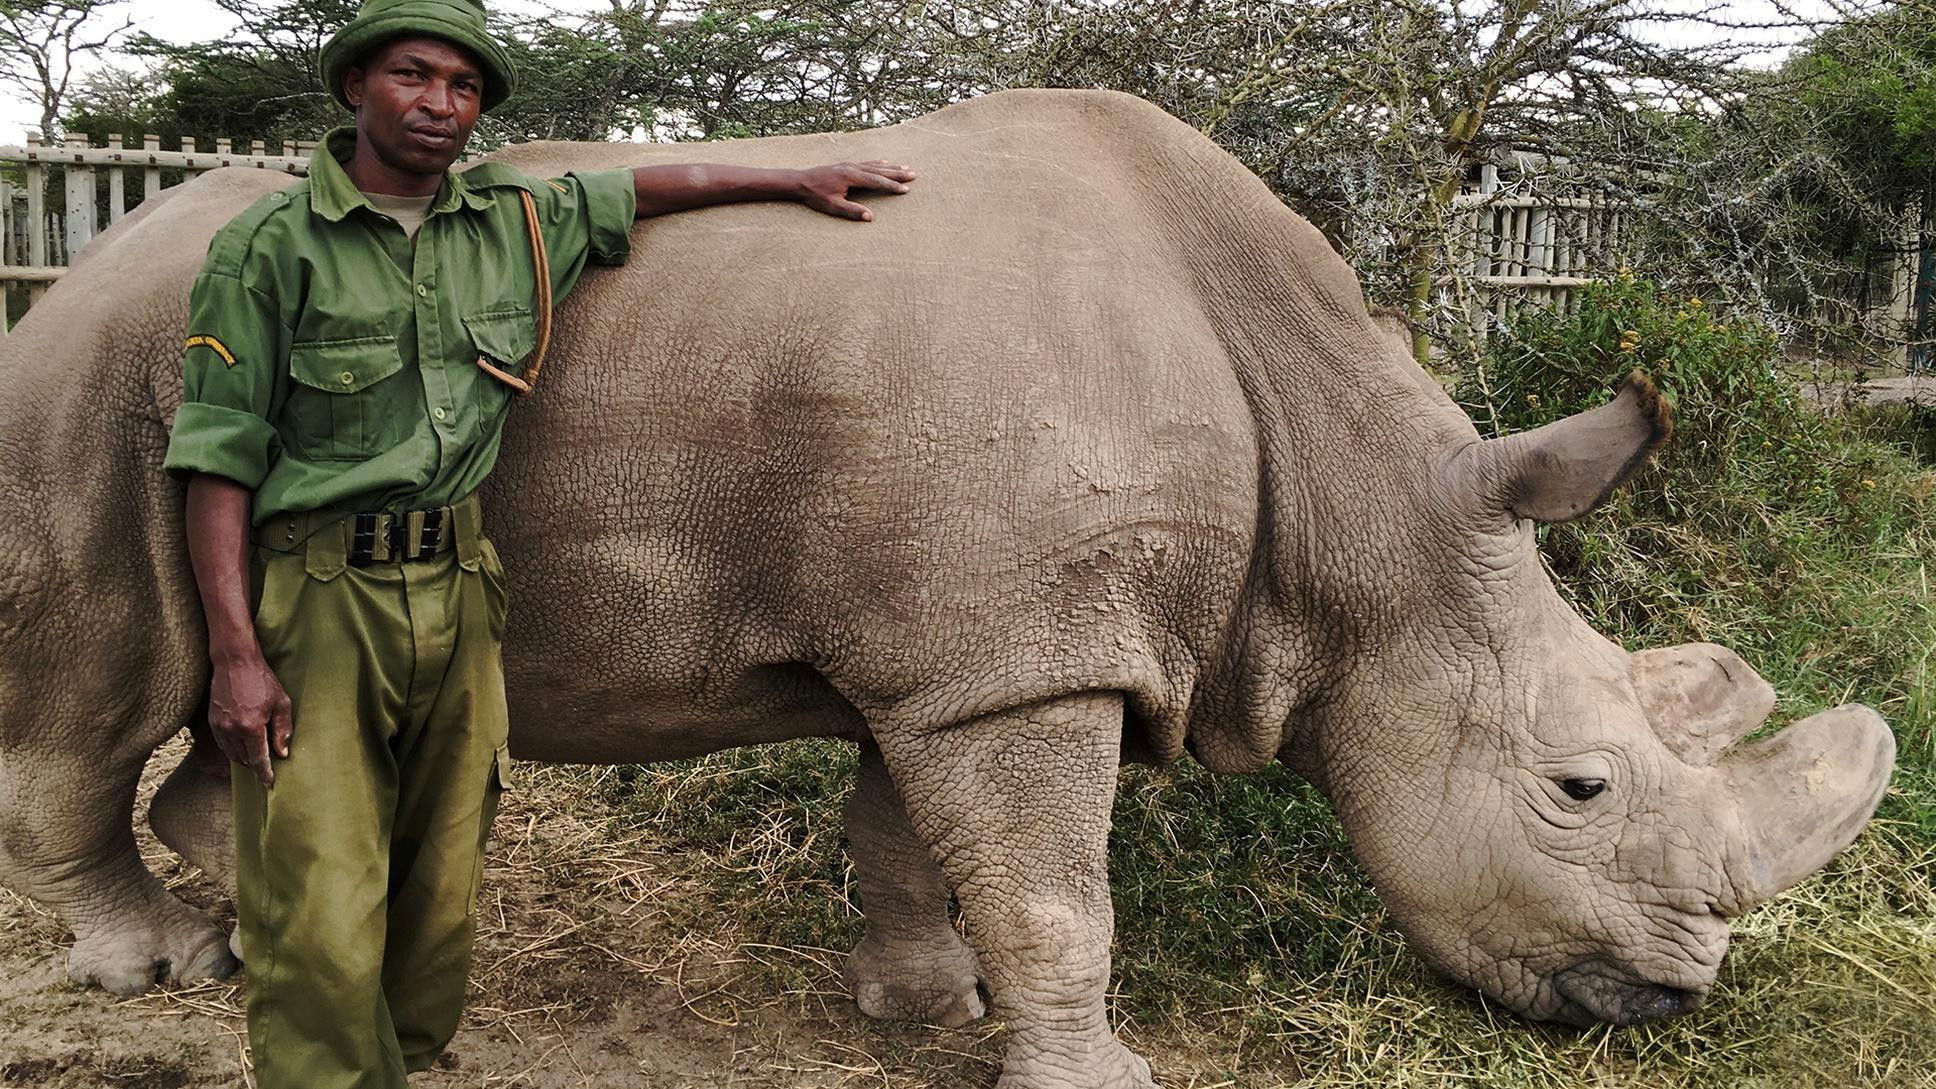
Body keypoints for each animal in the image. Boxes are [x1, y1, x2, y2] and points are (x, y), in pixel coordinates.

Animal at [0, 89, 1895, 1087]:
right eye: (1579, 789)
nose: (1679, 994)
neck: (1363, 518)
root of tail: (81, 261)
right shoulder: (1015, 666)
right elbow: (1063, 891)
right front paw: (1096, 1071)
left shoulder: (966, 653)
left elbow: (917, 840)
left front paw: (926, 1005)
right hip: (103, 381)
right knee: (109, 673)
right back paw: (154, 967)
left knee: (222, 701)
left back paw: (247, 925)